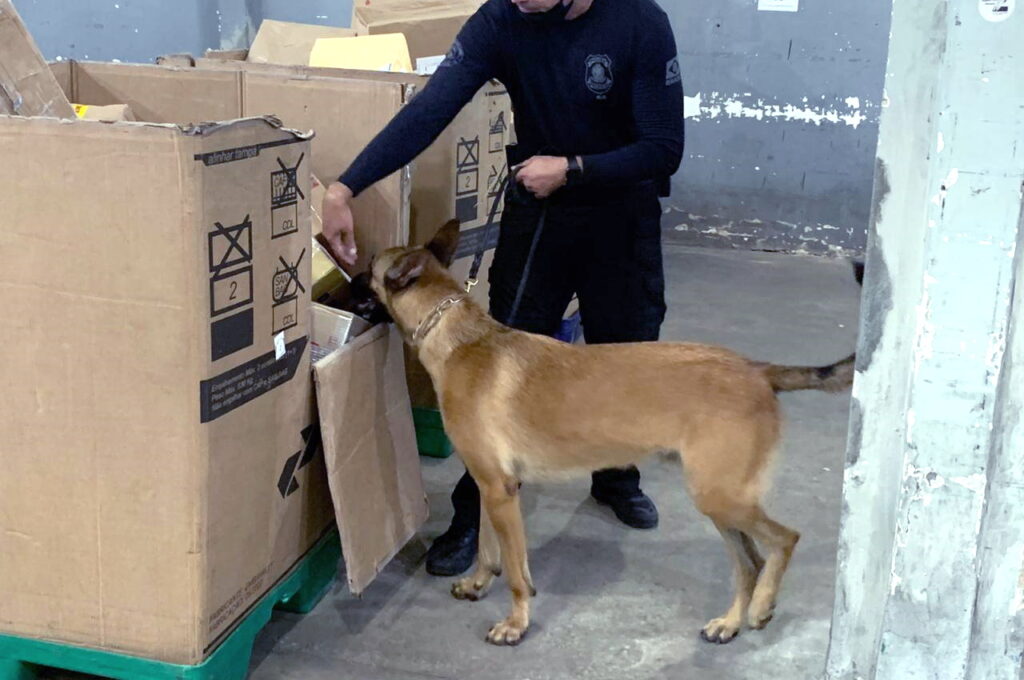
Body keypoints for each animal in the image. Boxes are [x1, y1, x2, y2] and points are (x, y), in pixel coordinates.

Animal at [364, 222, 851, 647]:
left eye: (367, 266)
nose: (349, 261)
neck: (458, 339)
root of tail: (758, 369)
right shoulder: (492, 487)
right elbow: (488, 548)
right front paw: (479, 584)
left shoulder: (500, 492)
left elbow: (518, 574)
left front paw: (516, 623)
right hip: (719, 501)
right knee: (750, 563)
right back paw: (730, 622)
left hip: (721, 497)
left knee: (784, 540)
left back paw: (762, 607)